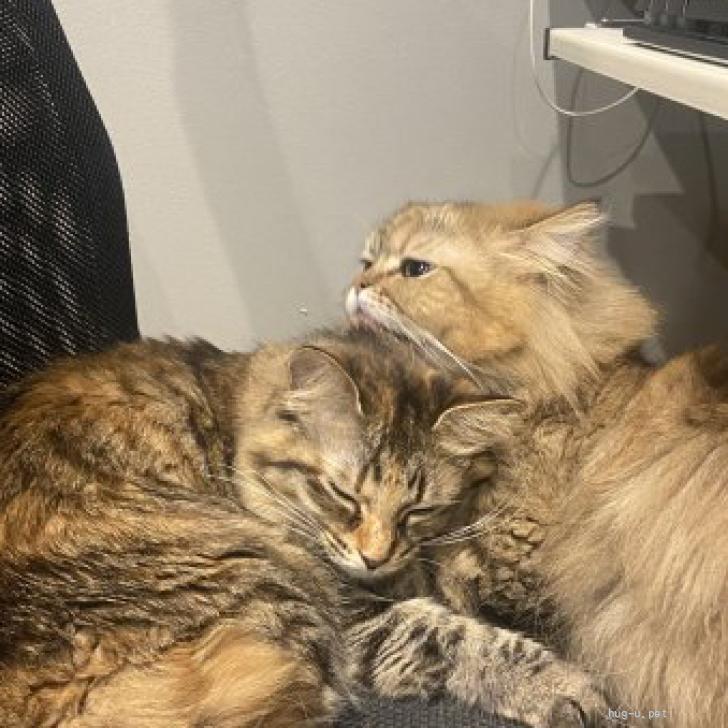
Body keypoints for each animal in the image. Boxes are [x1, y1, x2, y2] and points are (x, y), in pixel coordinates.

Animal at [0, 332, 605, 727]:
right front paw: (568, 688)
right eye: (343, 495)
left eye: (415, 510)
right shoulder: (355, 618)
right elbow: (459, 638)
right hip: (267, 583)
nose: (375, 556)